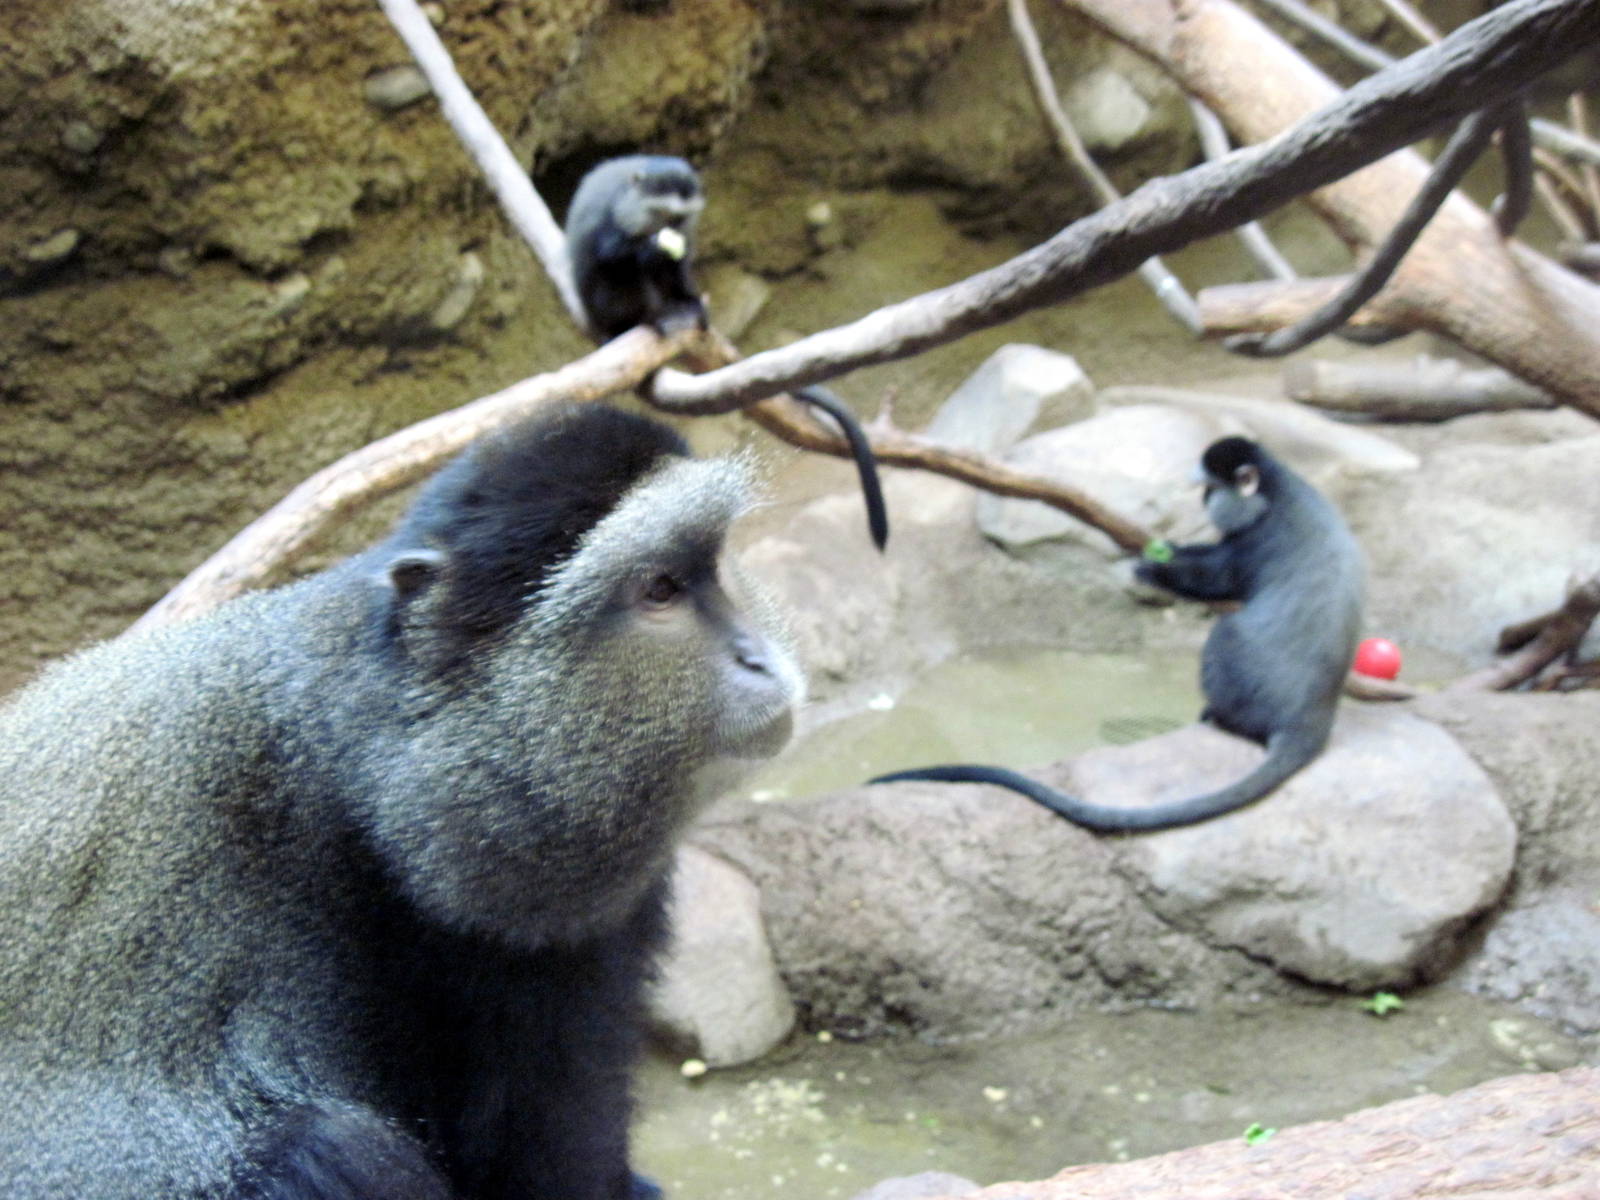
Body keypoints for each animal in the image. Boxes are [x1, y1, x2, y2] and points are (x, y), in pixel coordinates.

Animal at [563, 154, 889, 551]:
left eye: (680, 218)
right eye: (661, 213)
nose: (672, 232)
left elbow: (676, 264)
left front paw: (684, 284)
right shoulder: (611, 222)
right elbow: (611, 255)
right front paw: (650, 252)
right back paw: (653, 318)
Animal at [871, 436, 1364, 833]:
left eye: (1211, 487)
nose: (1205, 499)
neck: (1277, 489)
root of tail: (1307, 724)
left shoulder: (1258, 537)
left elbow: (1216, 579)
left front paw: (1151, 566)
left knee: (1227, 633)